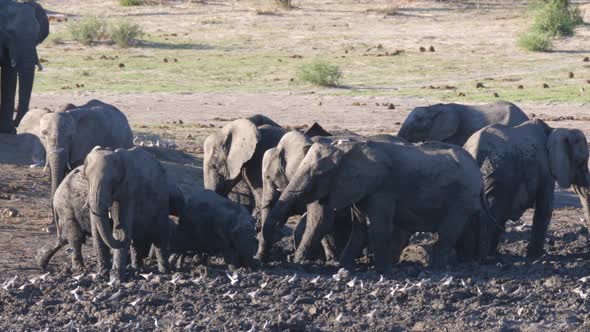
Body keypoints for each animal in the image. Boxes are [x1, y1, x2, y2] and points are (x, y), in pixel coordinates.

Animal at [83, 147, 176, 280]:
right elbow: (97, 233)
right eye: (86, 178)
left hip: (162, 202)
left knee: (159, 238)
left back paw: (164, 272)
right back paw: (138, 269)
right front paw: (102, 275)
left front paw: (116, 278)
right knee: (137, 240)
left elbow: (121, 230)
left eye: (114, 181)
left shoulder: (129, 192)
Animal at [260, 139, 494, 272]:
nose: (279, 231)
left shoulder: (382, 190)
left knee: (448, 232)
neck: (348, 149)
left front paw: (382, 270)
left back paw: (436, 269)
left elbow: (378, 228)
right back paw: (468, 263)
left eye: (320, 173)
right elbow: (359, 230)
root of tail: (477, 171)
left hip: (461, 198)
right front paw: (343, 266)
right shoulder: (362, 189)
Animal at [464, 118, 590, 258]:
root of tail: (474, 152)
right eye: (582, 161)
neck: (554, 130)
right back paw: (485, 256)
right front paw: (536, 256)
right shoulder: (545, 167)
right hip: (500, 175)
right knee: (496, 211)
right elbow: (545, 209)